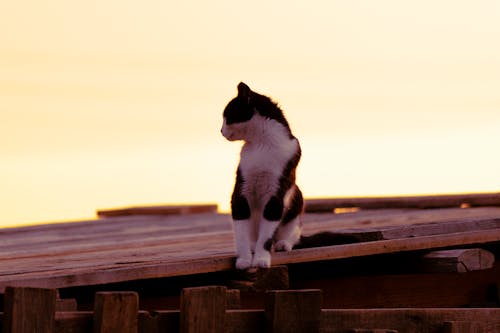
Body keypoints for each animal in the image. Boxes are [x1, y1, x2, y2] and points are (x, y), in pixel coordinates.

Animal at [221, 81, 302, 268]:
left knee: (293, 233)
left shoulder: (276, 195)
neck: (261, 144)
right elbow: (241, 232)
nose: (220, 130)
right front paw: (244, 259)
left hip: (297, 198)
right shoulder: (240, 191)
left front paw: (261, 259)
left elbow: (266, 237)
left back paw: (283, 244)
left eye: (227, 116)